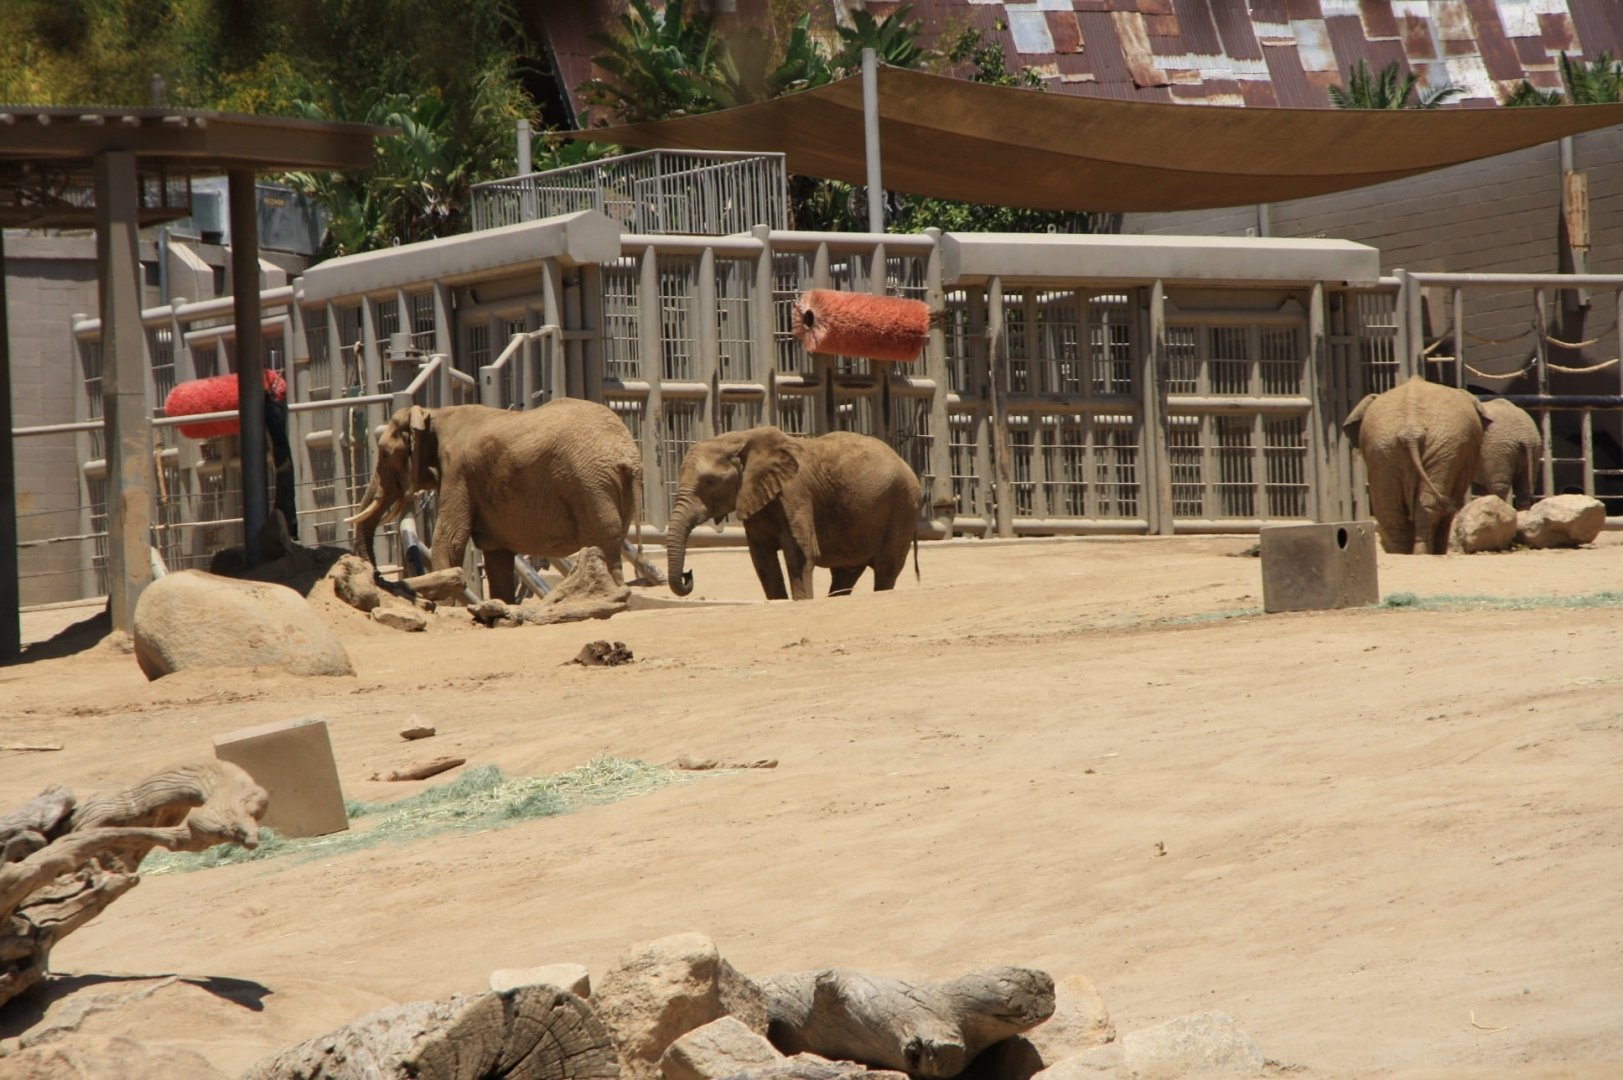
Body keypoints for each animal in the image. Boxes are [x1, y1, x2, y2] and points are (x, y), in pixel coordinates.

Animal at [347, 398, 643, 602]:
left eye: (385, 454)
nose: (378, 576)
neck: (436, 413)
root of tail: (626, 455)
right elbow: (496, 553)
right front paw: (502, 604)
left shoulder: (457, 471)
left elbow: (448, 540)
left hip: (589, 486)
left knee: (602, 541)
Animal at [665, 427, 922, 601]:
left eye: (709, 482)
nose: (688, 573)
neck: (741, 438)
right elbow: (762, 559)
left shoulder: (794, 492)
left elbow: (799, 554)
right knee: (845, 574)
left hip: (903, 506)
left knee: (886, 568)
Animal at [1343, 375, 1491, 555]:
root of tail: (1411, 430)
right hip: (1441, 446)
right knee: (1428, 506)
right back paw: (1423, 552)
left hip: (1385, 447)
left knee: (1389, 507)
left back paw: (1404, 553)